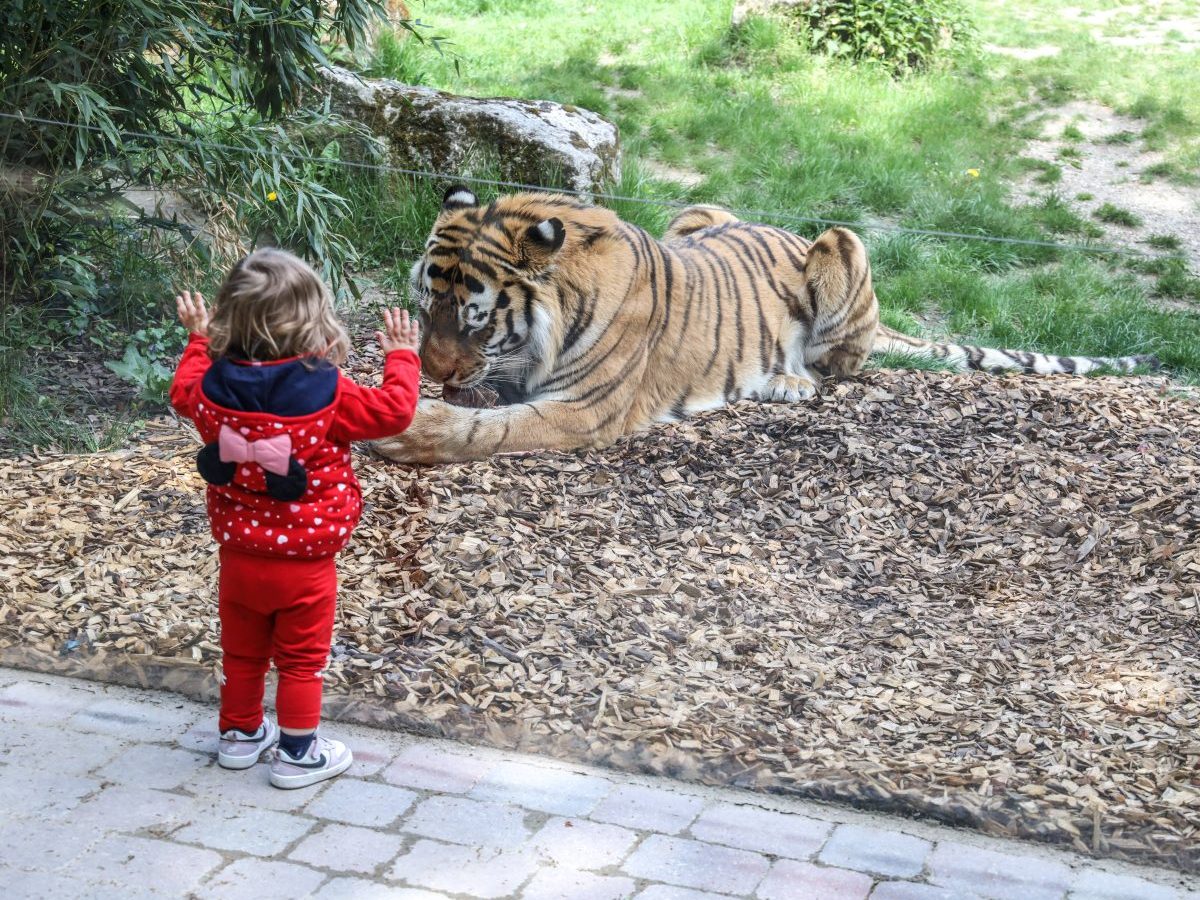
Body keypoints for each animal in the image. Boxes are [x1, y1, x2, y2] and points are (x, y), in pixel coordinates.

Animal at [372, 184, 1152, 465]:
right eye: (424, 307)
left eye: (474, 320)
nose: (435, 369)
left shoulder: (583, 409)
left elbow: (485, 430)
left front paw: (411, 431)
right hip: (698, 211)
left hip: (842, 243)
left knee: (844, 369)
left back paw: (789, 384)